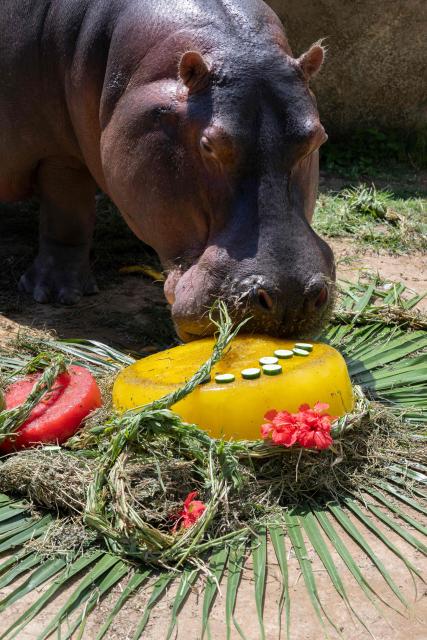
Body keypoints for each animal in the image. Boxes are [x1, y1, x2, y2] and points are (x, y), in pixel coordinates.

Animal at [0, 0, 334, 341]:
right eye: (208, 145)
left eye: (317, 137)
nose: (289, 297)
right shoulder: (57, 153)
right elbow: (67, 216)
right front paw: (58, 295)